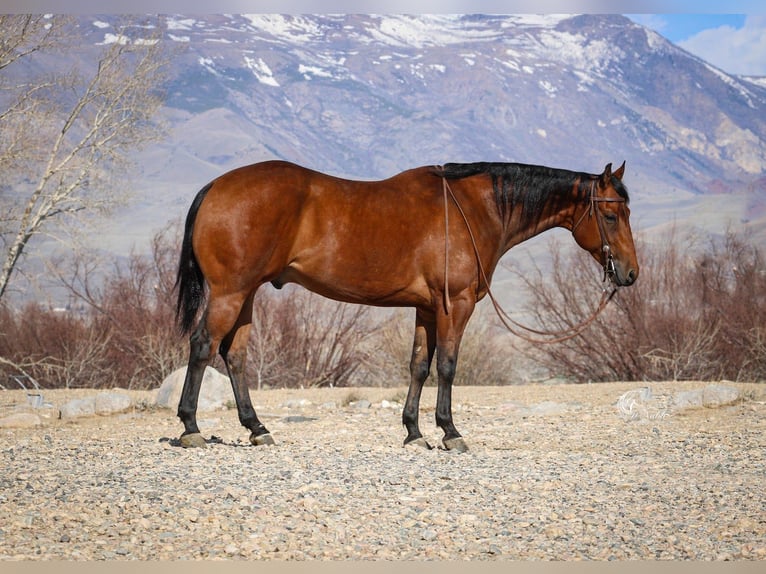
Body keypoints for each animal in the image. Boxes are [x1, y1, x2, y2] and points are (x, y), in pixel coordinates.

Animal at [174, 160, 638, 451]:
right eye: (611, 216)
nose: (631, 273)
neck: (473, 209)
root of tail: (215, 187)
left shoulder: (427, 309)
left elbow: (419, 365)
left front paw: (414, 432)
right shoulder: (456, 305)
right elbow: (447, 366)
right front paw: (450, 432)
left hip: (246, 294)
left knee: (234, 355)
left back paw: (257, 428)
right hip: (230, 292)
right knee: (202, 346)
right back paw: (191, 427)